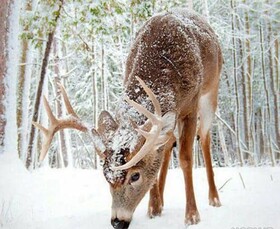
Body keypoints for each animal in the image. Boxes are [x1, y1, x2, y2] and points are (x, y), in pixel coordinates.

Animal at [33, 8, 223, 229]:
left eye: (135, 175)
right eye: (105, 176)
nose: (118, 221)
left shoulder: (190, 106)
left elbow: (185, 158)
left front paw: (192, 215)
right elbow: (157, 156)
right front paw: (153, 208)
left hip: (211, 93)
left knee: (205, 137)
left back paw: (214, 198)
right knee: (167, 145)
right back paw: (159, 202)